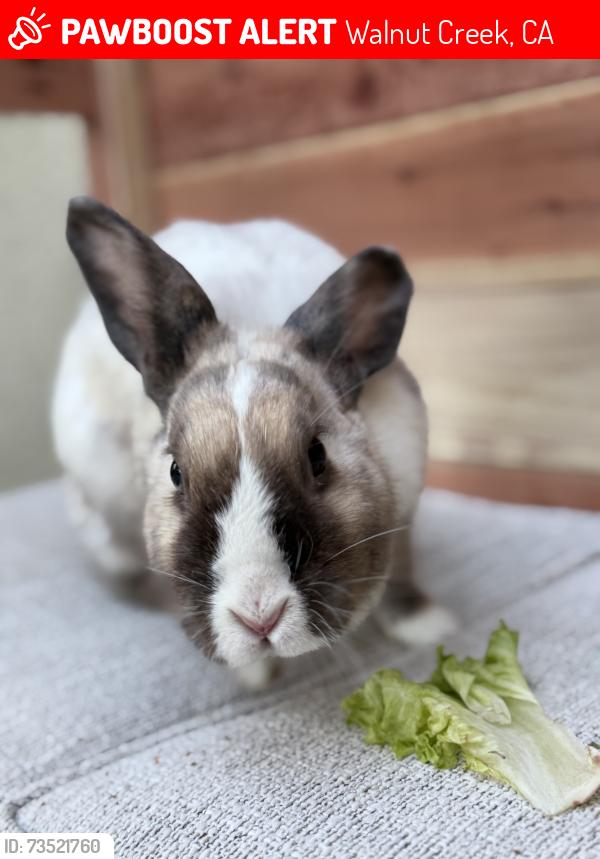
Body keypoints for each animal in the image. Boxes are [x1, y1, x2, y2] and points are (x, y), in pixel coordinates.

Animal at [53, 197, 455, 688]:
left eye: (318, 455)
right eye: (175, 473)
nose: (259, 616)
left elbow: (403, 566)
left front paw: (427, 625)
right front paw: (255, 675)